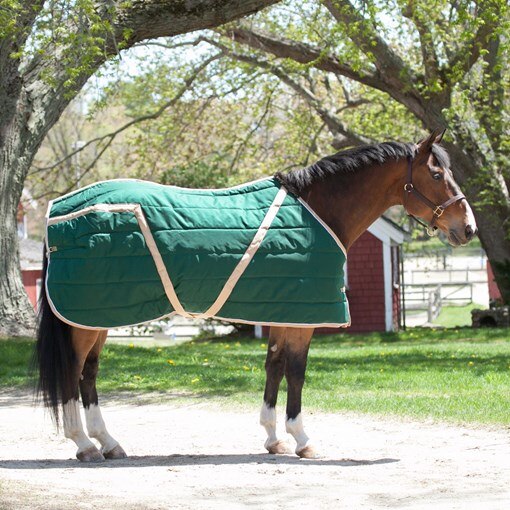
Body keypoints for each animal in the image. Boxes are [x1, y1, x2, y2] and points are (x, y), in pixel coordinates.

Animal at [35, 128, 478, 462]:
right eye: (436, 174)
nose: (469, 228)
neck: (318, 212)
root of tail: (58, 211)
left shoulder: (285, 310)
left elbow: (274, 367)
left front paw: (273, 438)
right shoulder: (303, 317)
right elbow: (296, 372)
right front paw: (303, 439)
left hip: (98, 315)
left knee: (88, 374)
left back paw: (108, 443)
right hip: (87, 318)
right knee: (73, 373)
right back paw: (85, 445)